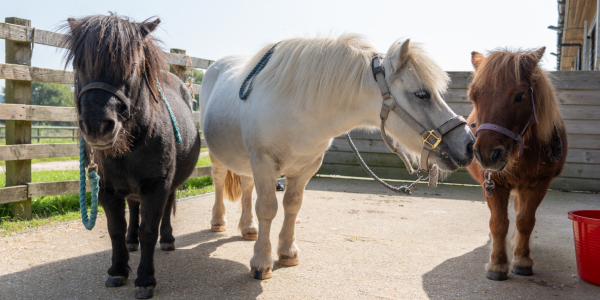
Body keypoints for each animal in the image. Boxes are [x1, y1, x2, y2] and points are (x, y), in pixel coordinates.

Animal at [63, 13, 200, 298]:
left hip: (168, 185)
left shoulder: (156, 186)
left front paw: (145, 278)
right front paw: (118, 269)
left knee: (167, 207)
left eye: (132, 65)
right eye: (79, 65)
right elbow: (115, 229)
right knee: (134, 207)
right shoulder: (105, 187)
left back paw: (167, 239)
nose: (97, 126)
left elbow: (149, 230)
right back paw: (131, 240)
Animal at [199, 34, 476, 278]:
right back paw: (218, 221)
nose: (469, 144)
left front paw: (287, 252)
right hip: (217, 155)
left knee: (246, 185)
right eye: (422, 94)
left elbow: (292, 205)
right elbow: (267, 208)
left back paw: (248, 228)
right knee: (219, 179)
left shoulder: (306, 167)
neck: (298, 107)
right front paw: (261, 262)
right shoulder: (263, 162)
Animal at [468, 47, 568, 282]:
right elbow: (498, 223)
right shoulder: (493, 184)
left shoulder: (539, 184)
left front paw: (521, 259)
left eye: (520, 96)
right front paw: (497, 263)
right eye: (474, 96)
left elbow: (525, 221)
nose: (486, 154)